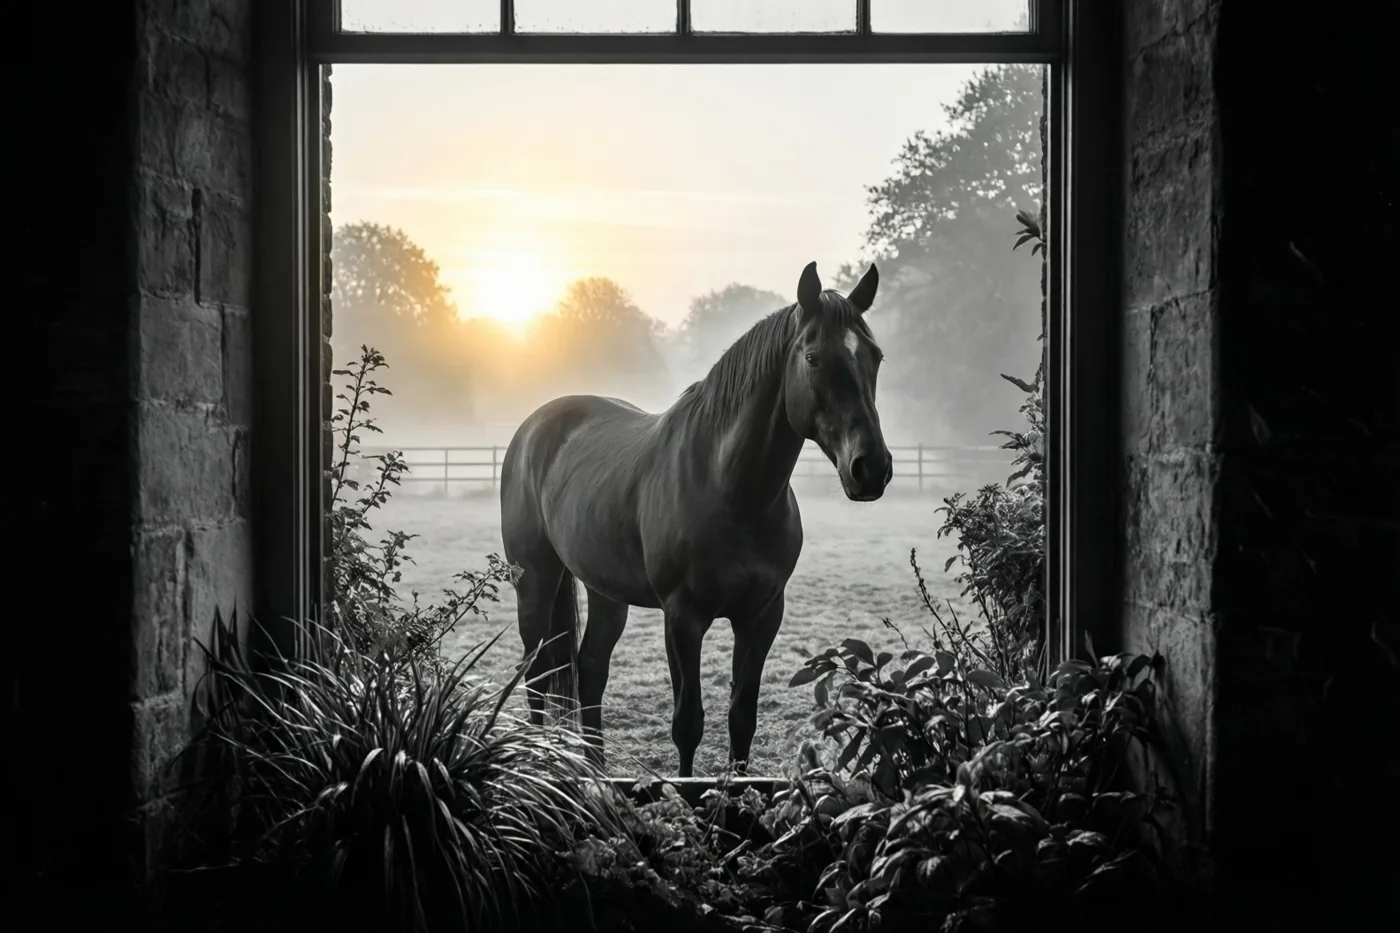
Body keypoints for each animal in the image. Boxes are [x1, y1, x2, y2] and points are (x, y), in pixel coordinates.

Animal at [499, 261, 891, 776]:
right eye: (812, 358)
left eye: (875, 356)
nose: (871, 468)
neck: (730, 489)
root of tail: (533, 428)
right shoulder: (683, 618)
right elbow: (688, 723)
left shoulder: (762, 616)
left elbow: (742, 718)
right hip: (534, 580)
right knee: (538, 674)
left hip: (607, 593)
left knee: (590, 671)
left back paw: (597, 773)